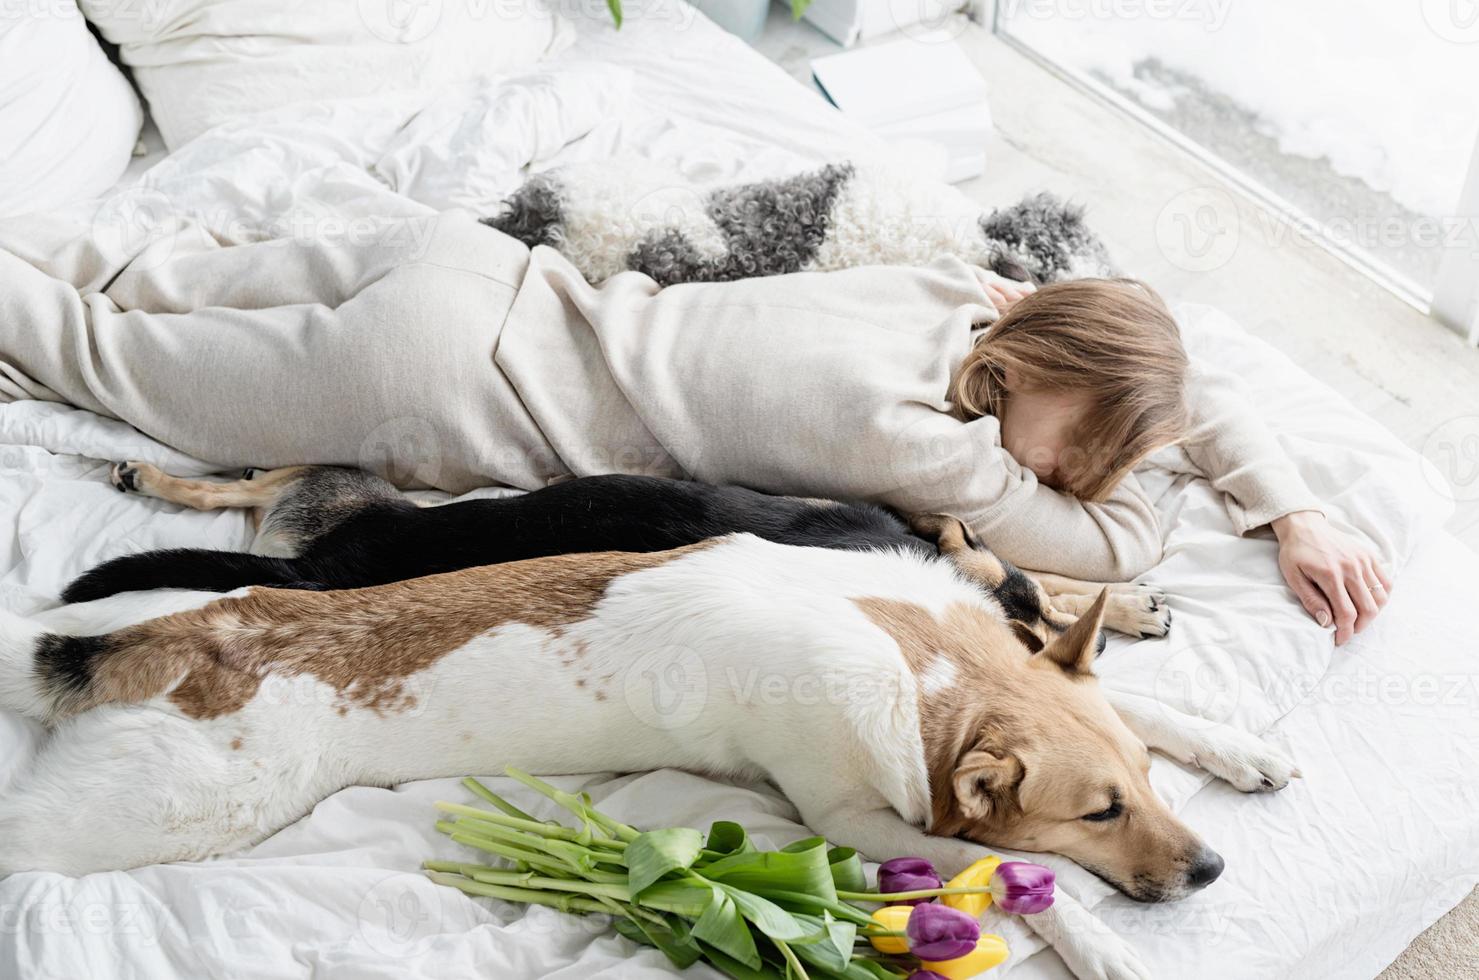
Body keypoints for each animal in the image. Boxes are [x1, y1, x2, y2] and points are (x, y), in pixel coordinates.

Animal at [0, 532, 1295, 980]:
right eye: (1096, 812)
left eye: (1142, 787)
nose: (1216, 872)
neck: (918, 658)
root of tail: (186, 637)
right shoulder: (856, 819)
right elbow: (1044, 887)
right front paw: (1102, 941)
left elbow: (1157, 702)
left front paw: (1236, 745)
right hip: (165, 809)